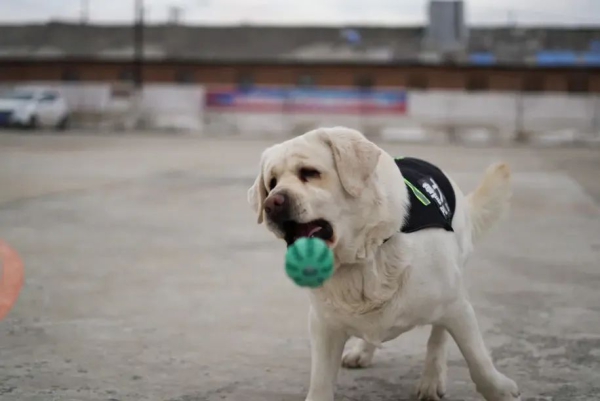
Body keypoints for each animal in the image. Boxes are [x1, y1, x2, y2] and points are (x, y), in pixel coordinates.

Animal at [247, 126, 520, 400]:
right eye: (271, 183)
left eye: (309, 173)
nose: (271, 204)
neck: (367, 251)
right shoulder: (324, 324)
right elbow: (321, 381)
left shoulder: (456, 306)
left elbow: (477, 359)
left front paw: (499, 390)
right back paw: (363, 351)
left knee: (438, 335)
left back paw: (432, 378)